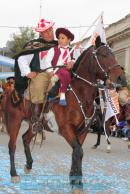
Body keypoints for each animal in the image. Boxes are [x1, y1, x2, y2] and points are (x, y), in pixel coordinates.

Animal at [1, 37, 125, 184]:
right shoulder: (66, 129)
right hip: (14, 121)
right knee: (12, 145)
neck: (79, 95)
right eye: (104, 55)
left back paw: (29, 165)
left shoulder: (83, 131)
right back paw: (14, 173)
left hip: (33, 124)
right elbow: (78, 151)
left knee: (25, 138)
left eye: (114, 55)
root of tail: (12, 92)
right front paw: (76, 181)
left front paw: (75, 177)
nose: (122, 78)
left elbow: (77, 151)